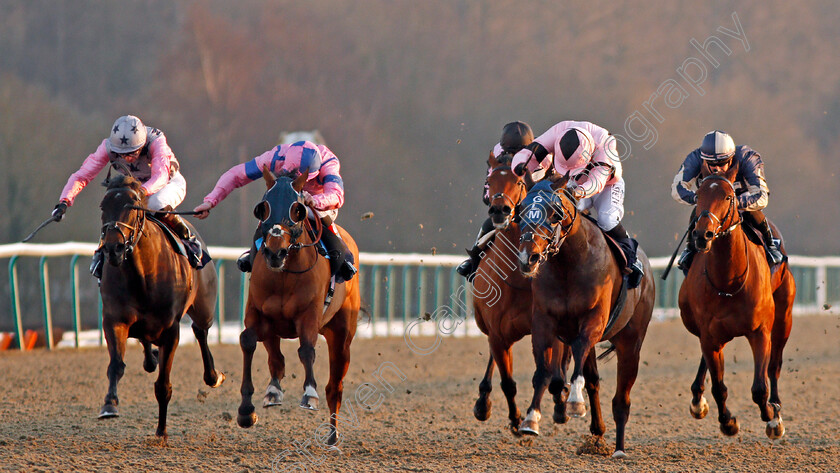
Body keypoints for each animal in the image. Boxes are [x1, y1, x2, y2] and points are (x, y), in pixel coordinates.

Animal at [97, 175, 226, 436]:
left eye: (133, 206)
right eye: (103, 206)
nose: (113, 248)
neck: (142, 275)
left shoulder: (171, 330)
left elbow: (163, 385)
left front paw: (161, 431)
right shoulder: (114, 319)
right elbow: (116, 365)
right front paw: (109, 405)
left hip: (204, 308)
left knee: (200, 331)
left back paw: (213, 375)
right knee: (147, 345)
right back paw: (151, 357)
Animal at [236, 167, 360, 450]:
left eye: (298, 209)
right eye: (263, 208)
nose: (275, 252)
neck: (284, 275)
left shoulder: (309, 316)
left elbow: (306, 350)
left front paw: (309, 394)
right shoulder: (259, 313)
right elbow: (247, 340)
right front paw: (246, 411)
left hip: (342, 336)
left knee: (334, 387)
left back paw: (332, 435)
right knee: (276, 360)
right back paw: (273, 392)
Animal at [472, 153, 572, 434]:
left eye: (518, 182)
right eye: (489, 181)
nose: (499, 210)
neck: (517, 278)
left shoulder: (549, 327)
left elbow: (552, 373)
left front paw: (557, 404)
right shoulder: (497, 333)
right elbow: (507, 380)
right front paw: (516, 420)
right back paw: (483, 401)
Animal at [512, 173, 656, 458]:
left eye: (555, 213)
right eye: (520, 211)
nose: (527, 257)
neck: (568, 263)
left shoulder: (594, 319)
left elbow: (578, 352)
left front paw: (575, 402)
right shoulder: (543, 321)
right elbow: (544, 371)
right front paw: (532, 419)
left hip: (631, 341)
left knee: (622, 398)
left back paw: (619, 449)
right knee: (593, 381)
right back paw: (597, 433)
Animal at [676, 163, 796, 438]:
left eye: (728, 197)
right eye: (698, 196)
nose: (703, 234)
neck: (728, 283)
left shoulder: (760, 331)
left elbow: (760, 387)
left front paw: (771, 416)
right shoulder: (710, 336)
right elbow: (719, 387)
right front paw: (728, 421)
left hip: (784, 318)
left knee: (775, 365)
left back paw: (776, 410)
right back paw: (697, 400)